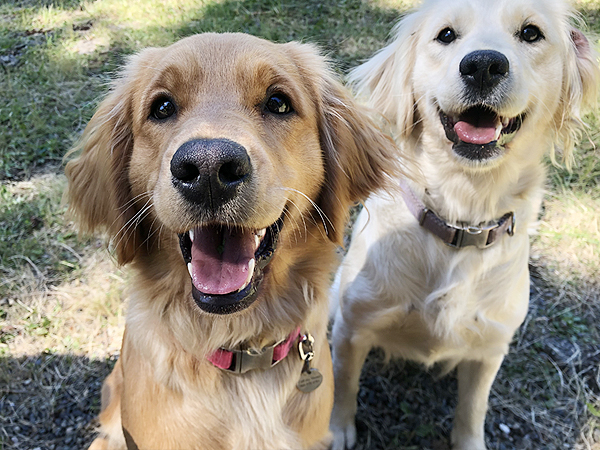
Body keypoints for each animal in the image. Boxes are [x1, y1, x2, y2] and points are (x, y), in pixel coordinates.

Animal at [330, 0, 596, 448]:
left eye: (531, 33)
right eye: (446, 35)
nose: (484, 65)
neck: (462, 216)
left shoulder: (489, 349)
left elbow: (473, 410)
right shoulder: (353, 327)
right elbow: (343, 385)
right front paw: (337, 431)